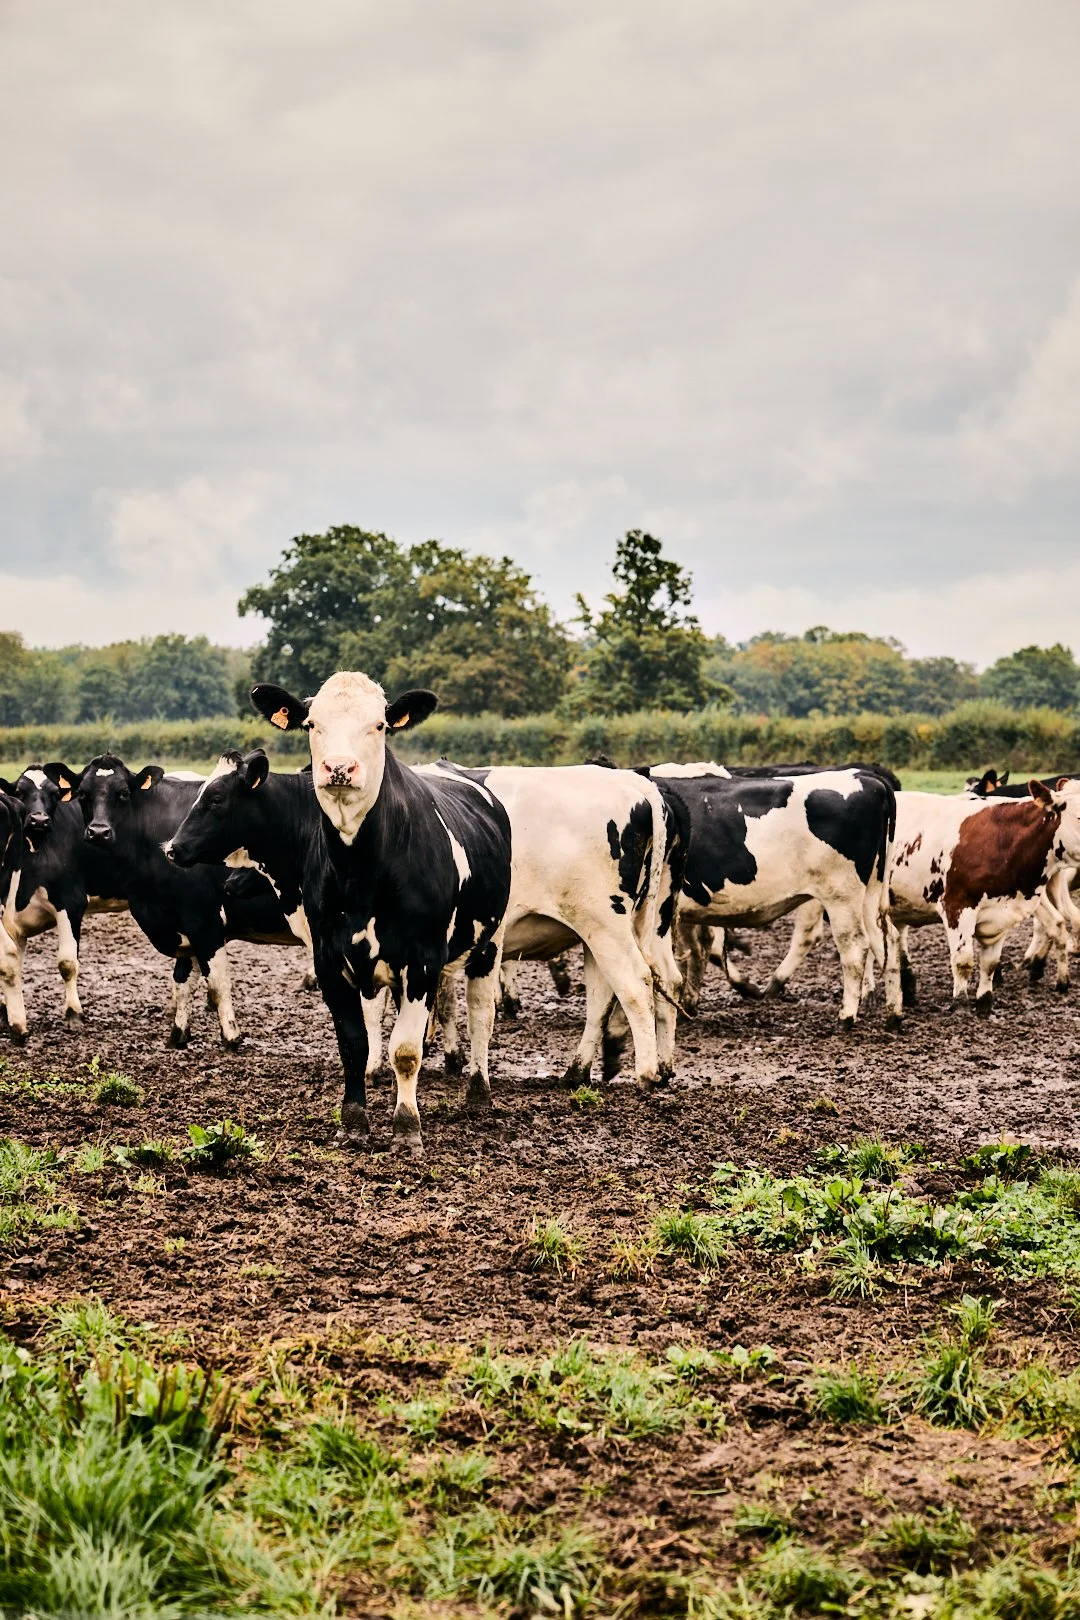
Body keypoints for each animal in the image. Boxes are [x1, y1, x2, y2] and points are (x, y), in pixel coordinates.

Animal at [246, 676, 512, 1154]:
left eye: (380, 725)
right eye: (311, 724)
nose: (339, 767)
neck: (359, 872)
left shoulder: (422, 957)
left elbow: (406, 1049)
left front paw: (407, 1127)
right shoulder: (329, 956)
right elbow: (354, 1043)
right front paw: (353, 1122)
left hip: (489, 942)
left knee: (482, 1014)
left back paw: (478, 1094)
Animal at [643, 764, 896, 1028]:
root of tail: (867, 777)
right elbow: (697, 950)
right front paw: (689, 1003)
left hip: (841, 897)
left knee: (854, 947)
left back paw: (845, 1016)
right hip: (870, 895)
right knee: (886, 941)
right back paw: (894, 1014)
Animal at [883, 781, 1080, 1023]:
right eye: (1079, 817)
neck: (1003, 841)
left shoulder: (1000, 914)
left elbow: (990, 963)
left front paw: (984, 1003)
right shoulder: (957, 907)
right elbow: (963, 961)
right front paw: (960, 1005)